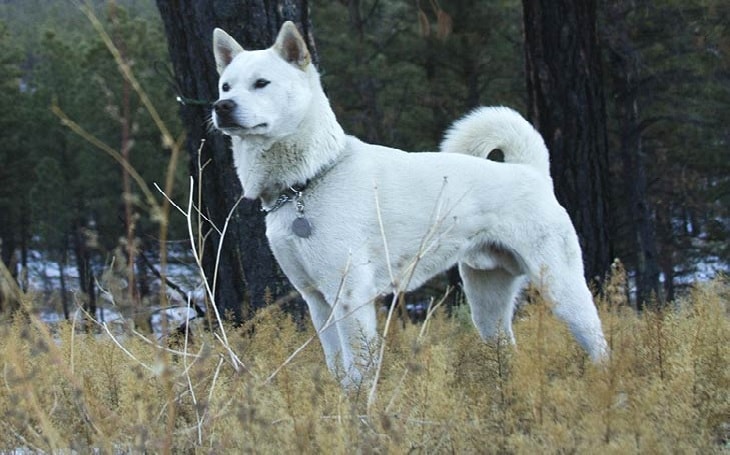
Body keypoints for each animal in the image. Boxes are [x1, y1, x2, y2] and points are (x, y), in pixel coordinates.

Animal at [212, 20, 608, 384]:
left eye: (261, 83)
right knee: (505, 348)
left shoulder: (349, 297)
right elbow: (338, 371)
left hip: (562, 289)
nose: (221, 106)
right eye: (226, 85)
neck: (308, 181)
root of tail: (531, 170)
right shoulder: (317, 301)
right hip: (486, 300)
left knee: (599, 344)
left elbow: (358, 372)